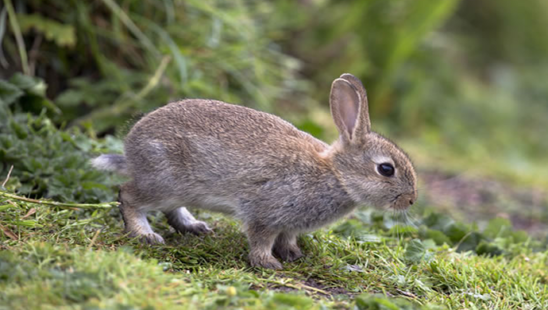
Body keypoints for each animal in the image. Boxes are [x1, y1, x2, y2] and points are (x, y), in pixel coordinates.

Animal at [92, 72, 418, 268]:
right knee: (128, 195)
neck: (335, 175)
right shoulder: (266, 211)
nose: (411, 200)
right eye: (386, 169)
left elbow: (286, 238)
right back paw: (145, 235)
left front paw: (293, 255)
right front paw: (269, 263)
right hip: (164, 181)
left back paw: (194, 226)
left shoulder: (289, 223)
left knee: (170, 209)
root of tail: (131, 147)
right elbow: (261, 238)